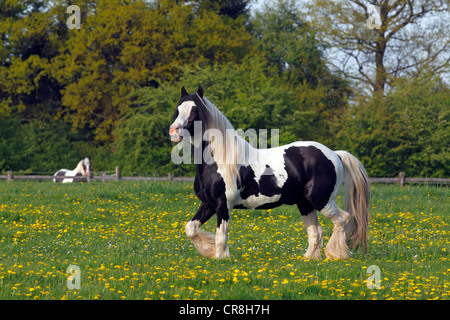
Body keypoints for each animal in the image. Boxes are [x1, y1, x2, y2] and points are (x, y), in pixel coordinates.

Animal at [169, 85, 370, 260]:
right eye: (178, 108)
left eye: (195, 110)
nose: (174, 131)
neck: (218, 161)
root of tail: (334, 154)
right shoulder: (208, 204)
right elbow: (191, 228)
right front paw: (209, 250)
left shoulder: (223, 205)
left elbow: (221, 236)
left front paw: (220, 257)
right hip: (305, 204)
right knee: (317, 232)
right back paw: (309, 259)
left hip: (322, 201)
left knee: (342, 220)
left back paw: (337, 254)